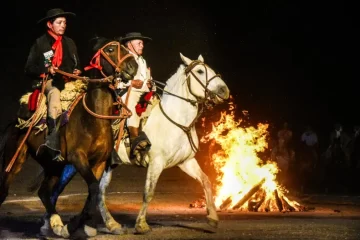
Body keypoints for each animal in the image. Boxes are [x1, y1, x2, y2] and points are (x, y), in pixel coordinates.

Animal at [0, 37, 138, 238]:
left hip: (54, 165)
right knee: (5, 191)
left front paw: (75, 226)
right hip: (14, 160)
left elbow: (93, 192)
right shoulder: (78, 158)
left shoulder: (98, 163)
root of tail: (16, 122)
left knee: (44, 192)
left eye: (125, 48)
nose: (133, 66)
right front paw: (73, 225)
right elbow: (94, 188)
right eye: (111, 49)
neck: (92, 119)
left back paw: (57, 224)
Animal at [97, 53, 229, 234]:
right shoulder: (156, 163)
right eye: (200, 71)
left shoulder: (186, 161)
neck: (177, 122)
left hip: (108, 164)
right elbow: (148, 192)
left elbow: (206, 181)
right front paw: (141, 224)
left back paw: (111, 224)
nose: (224, 90)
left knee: (99, 192)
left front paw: (213, 218)